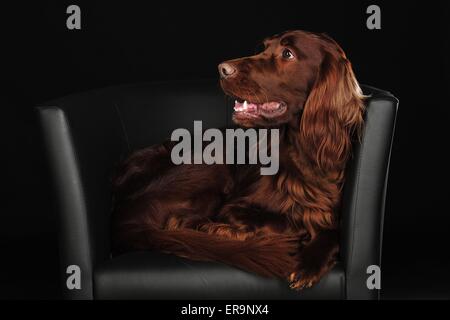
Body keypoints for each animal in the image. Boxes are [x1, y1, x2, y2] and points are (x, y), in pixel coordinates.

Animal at [111, 30, 366, 290]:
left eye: (287, 53)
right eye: (264, 47)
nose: (223, 69)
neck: (303, 152)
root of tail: (121, 213)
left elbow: (331, 230)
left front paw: (310, 263)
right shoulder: (234, 207)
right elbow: (292, 222)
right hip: (214, 163)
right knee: (178, 222)